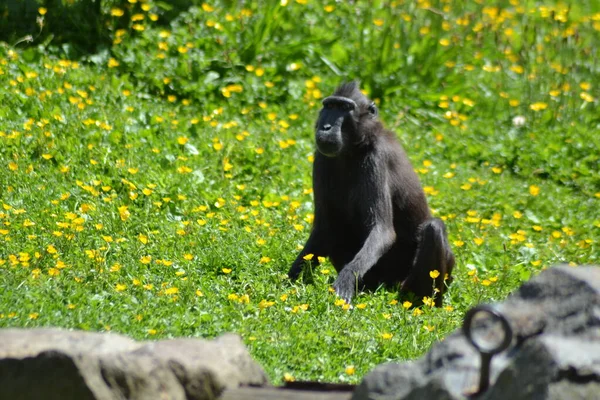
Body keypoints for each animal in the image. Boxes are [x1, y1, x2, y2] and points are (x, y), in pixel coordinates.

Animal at [288, 82, 454, 306]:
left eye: (344, 108)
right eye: (329, 106)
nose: (325, 127)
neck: (354, 148)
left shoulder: (377, 158)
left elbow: (382, 230)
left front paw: (346, 280)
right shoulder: (321, 158)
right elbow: (324, 228)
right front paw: (289, 280)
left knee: (434, 228)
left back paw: (422, 303)